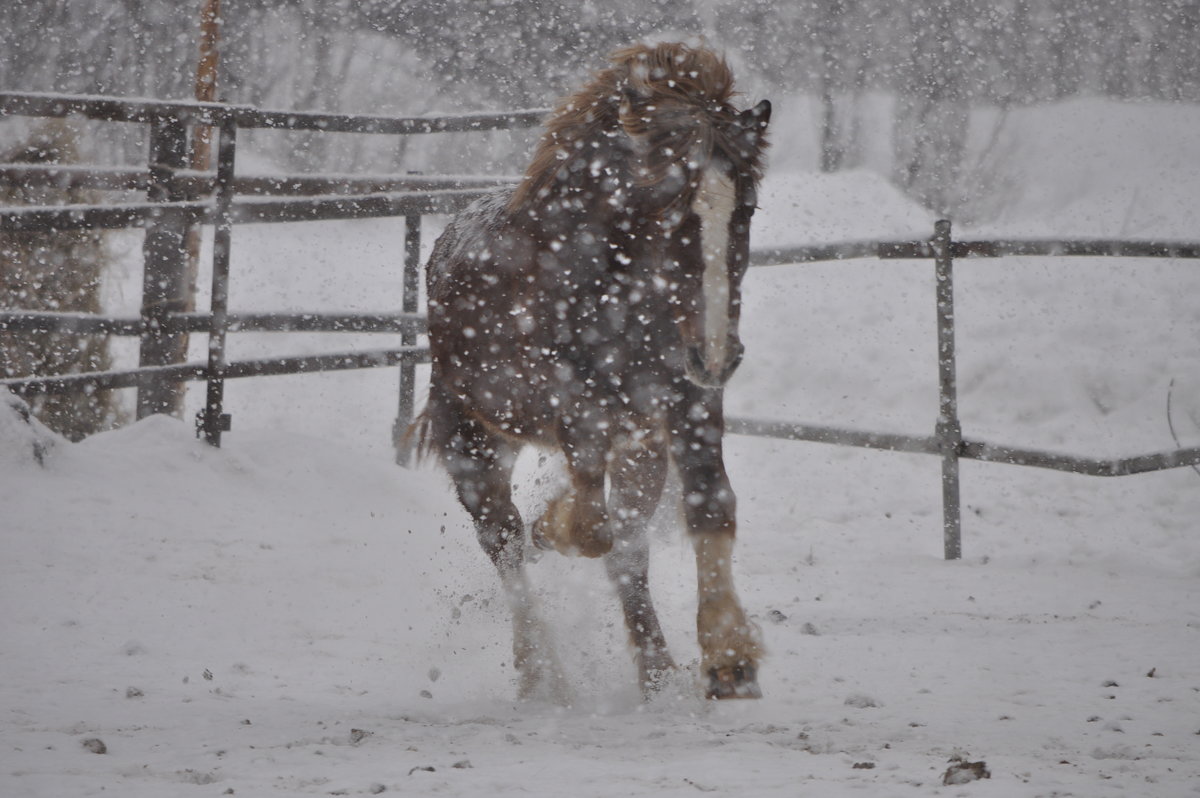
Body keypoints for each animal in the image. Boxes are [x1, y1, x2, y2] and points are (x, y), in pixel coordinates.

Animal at [415, 42, 768, 705]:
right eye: (666, 206)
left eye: (747, 209)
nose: (715, 356)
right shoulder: (577, 412)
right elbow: (586, 527)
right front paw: (549, 525)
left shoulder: (686, 404)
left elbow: (709, 505)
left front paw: (729, 658)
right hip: (474, 440)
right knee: (505, 541)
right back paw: (542, 675)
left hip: (638, 445)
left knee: (624, 547)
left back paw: (656, 673)